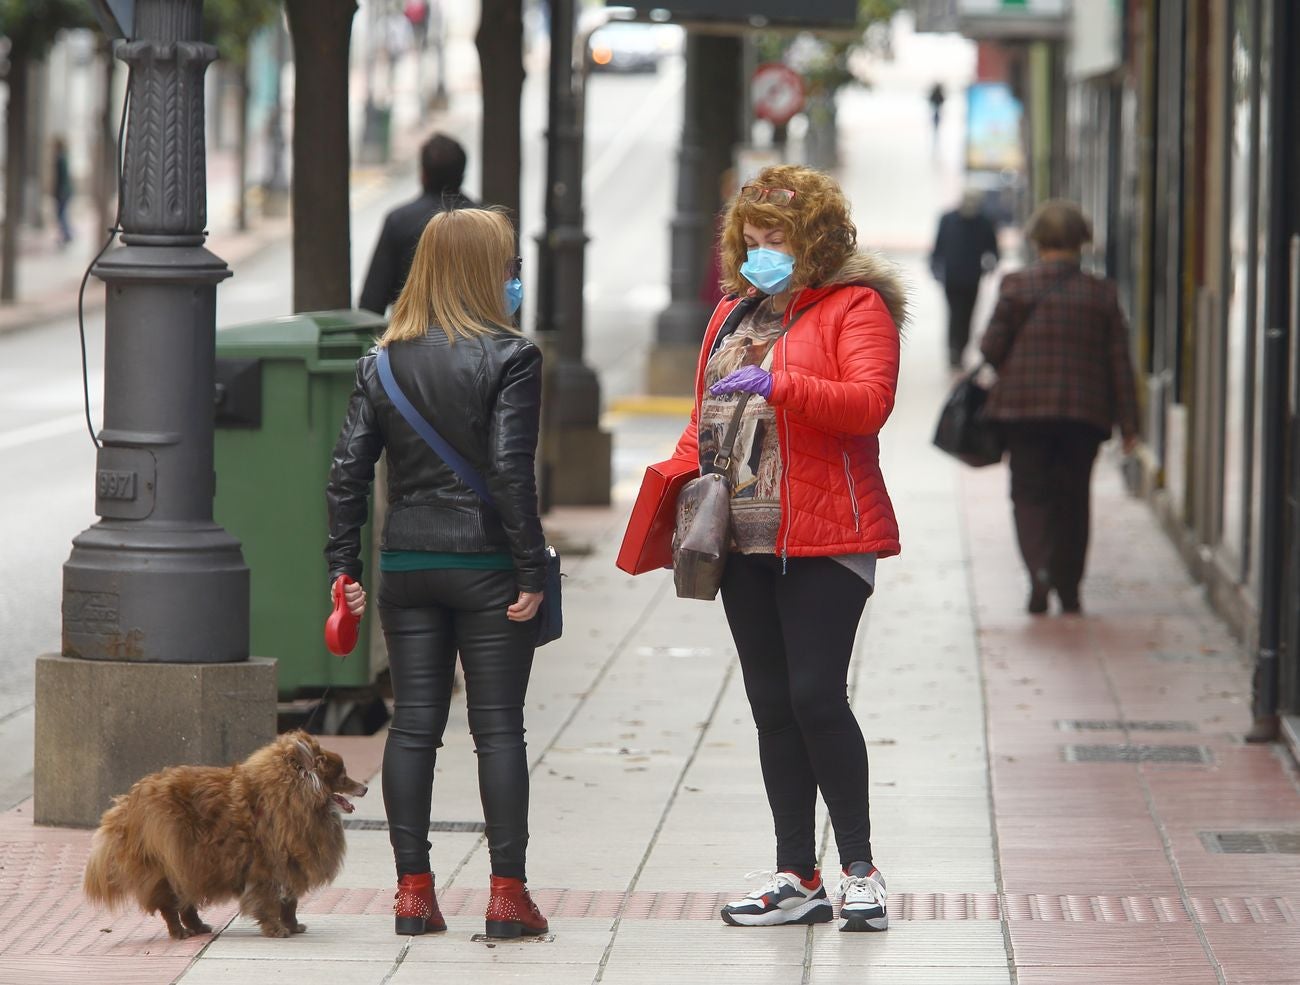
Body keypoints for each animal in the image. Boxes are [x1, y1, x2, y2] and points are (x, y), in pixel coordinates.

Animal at [82, 732, 366, 940]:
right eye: (342, 776)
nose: (364, 787)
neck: (292, 799)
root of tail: (127, 804)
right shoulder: (267, 867)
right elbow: (270, 902)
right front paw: (276, 929)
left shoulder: (289, 865)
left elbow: (290, 902)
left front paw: (293, 925)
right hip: (171, 862)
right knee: (170, 905)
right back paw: (179, 932)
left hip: (187, 864)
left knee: (185, 901)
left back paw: (197, 927)